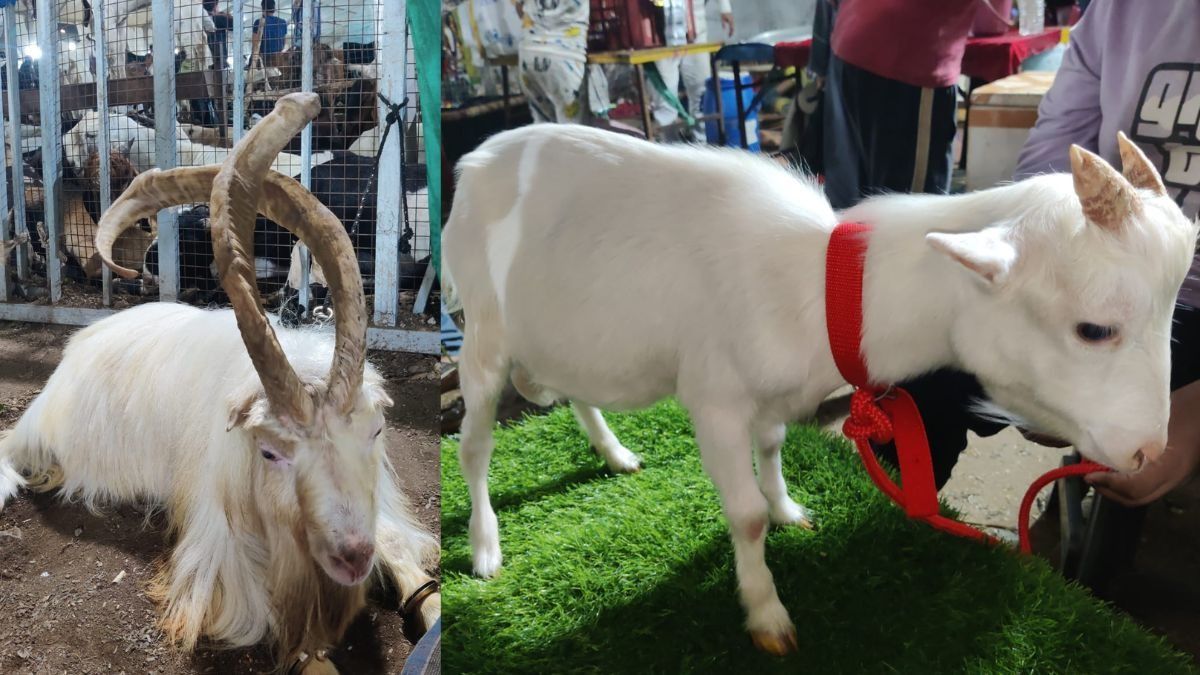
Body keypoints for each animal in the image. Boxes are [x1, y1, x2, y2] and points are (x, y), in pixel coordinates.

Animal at [442, 123, 1198, 655]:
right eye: (1094, 328)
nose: (1146, 453)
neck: (822, 284)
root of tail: (473, 159)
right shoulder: (714, 396)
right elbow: (743, 514)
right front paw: (766, 612)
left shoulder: (770, 395)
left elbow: (773, 449)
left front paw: (788, 508)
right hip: (481, 331)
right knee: (475, 445)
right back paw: (485, 546)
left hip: (569, 333)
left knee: (577, 389)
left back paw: (615, 453)